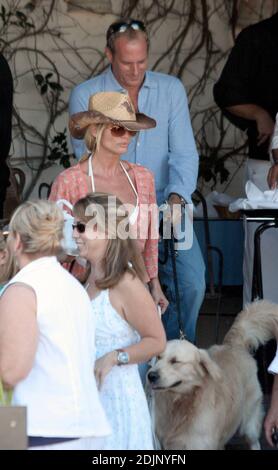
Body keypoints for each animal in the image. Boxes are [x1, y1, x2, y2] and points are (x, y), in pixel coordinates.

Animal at [149, 300, 278, 450]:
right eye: (158, 357)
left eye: (175, 361)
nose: (150, 376)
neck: (181, 403)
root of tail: (234, 344)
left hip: (249, 422)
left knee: (254, 441)